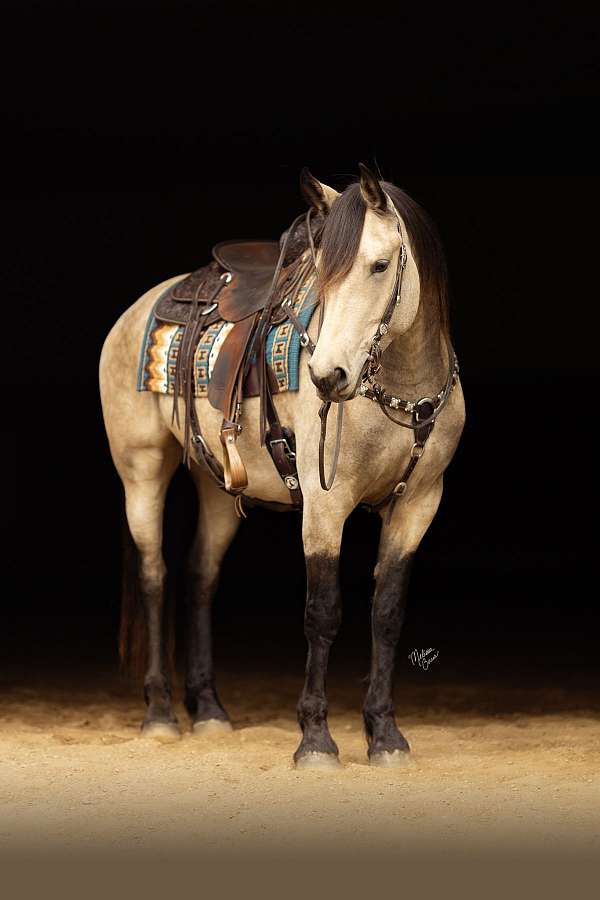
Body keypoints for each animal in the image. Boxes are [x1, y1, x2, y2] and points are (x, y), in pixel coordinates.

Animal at [99, 165, 465, 768]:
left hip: (218, 487)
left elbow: (387, 613)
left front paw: (386, 735)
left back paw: (210, 710)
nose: (326, 376)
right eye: (323, 275)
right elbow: (323, 614)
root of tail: (145, 305)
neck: (400, 392)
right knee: (156, 576)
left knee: (200, 577)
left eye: (380, 265)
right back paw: (160, 715)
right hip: (142, 471)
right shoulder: (324, 507)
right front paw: (315, 739)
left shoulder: (419, 505)